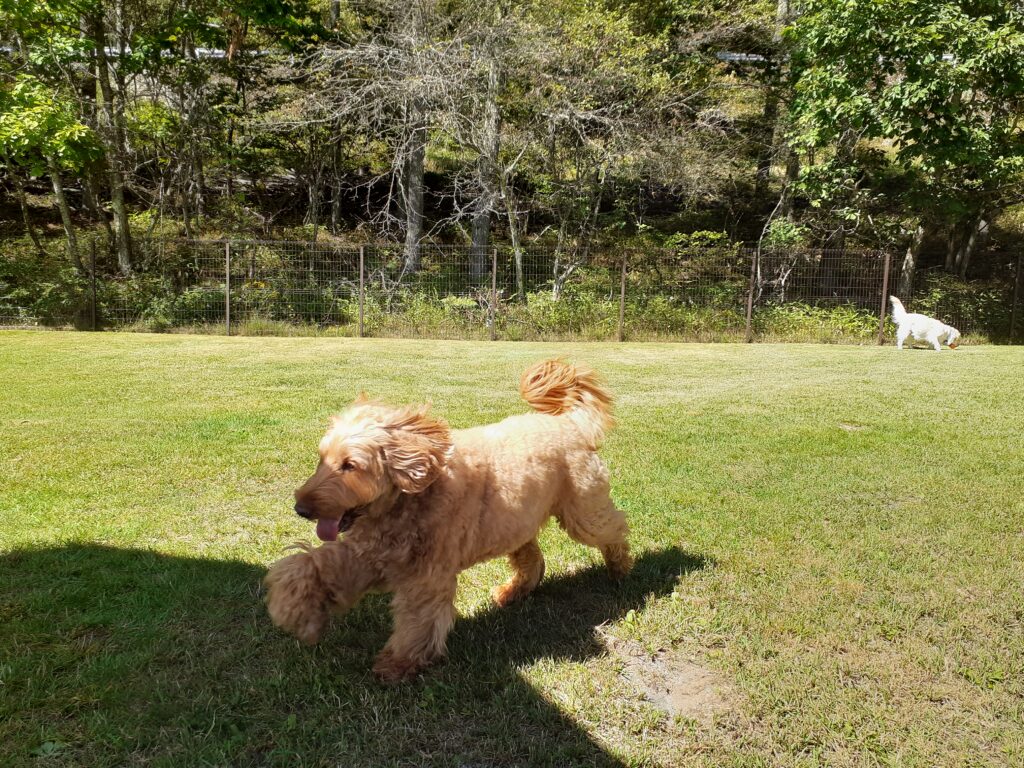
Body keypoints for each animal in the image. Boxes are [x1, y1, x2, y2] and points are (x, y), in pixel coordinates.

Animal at [264, 358, 630, 684]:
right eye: (322, 459)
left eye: (350, 465)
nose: (300, 507)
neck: (413, 497)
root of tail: (569, 424)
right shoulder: (368, 557)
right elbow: (308, 567)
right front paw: (296, 614)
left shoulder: (425, 576)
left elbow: (419, 621)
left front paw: (398, 664)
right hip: (515, 524)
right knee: (532, 559)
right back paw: (513, 591)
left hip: (582, 513)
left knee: (615, 528)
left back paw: (621, 567)